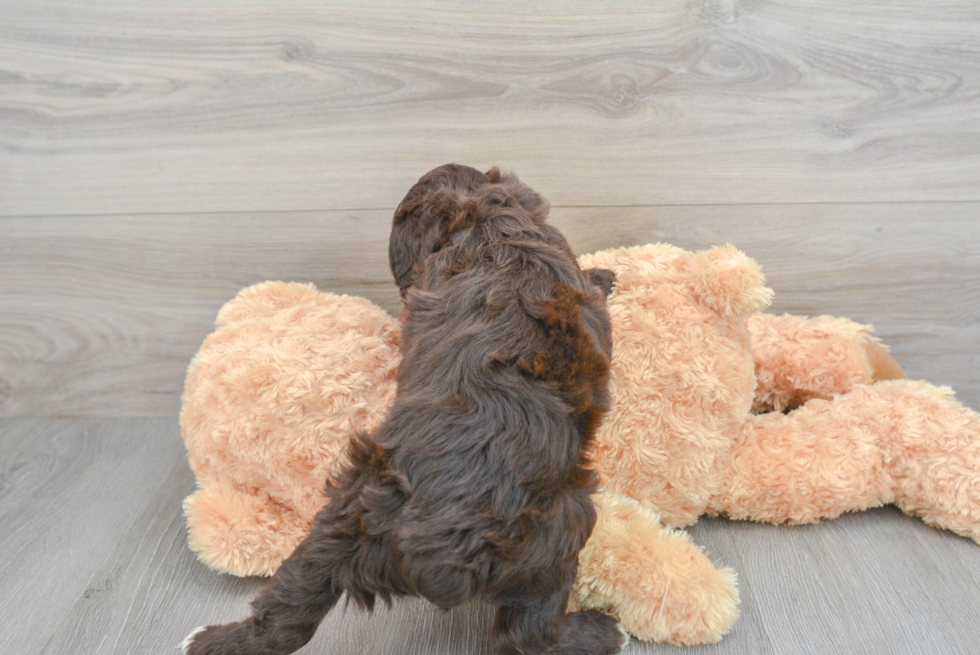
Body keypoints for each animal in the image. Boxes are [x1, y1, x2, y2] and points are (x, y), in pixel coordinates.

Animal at [182, 165, 628, 655]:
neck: (483, 226)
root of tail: (443, 546)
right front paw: (604, 274)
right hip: (559, 532)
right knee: (528, 635)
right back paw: (597, 631)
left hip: (343, 516)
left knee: (287, 613)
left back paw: (212, 638)